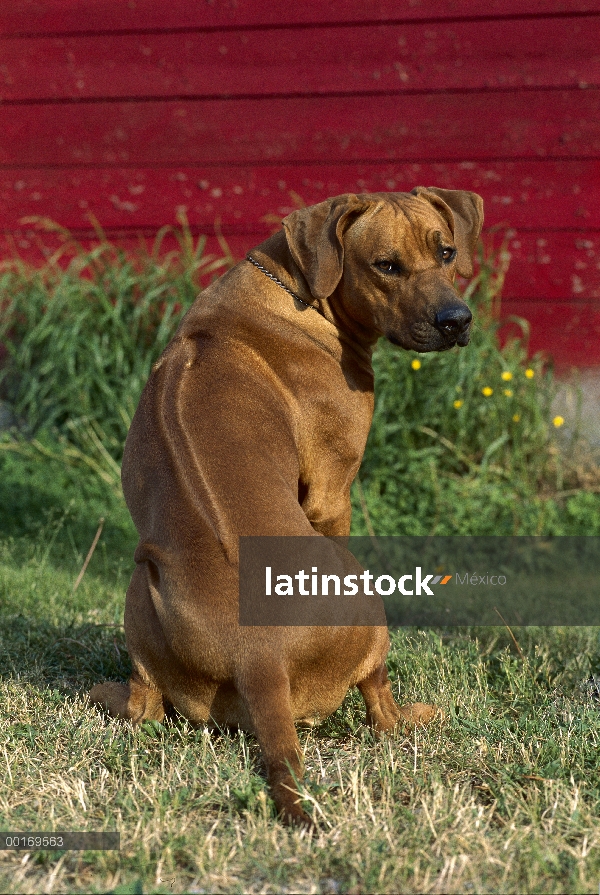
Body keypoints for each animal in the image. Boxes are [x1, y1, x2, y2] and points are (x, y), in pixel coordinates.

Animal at [89, 187, 482, 824]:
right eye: (386, 265)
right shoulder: (330, 492)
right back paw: (410, 716)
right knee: (379, 702)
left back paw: (108, 694)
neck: (295, 287)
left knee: (145, 701)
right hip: (368, 604)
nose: (456, 320)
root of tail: (259, 655)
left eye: (446, 251)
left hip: (140, 586)